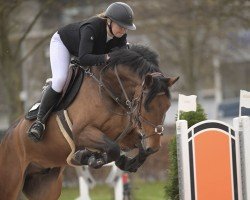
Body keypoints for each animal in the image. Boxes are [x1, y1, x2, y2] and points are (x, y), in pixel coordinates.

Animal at [0, 44, 178, 199]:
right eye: (147, 107)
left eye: (168, 106)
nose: (154, 147)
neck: (108, 89)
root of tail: (7, 136)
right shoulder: (82, 133)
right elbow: (112, 149)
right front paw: (88, 158)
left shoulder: (123, 135)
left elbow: (135, 148)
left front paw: (127, 163)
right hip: (11, 183)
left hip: (45, 185)